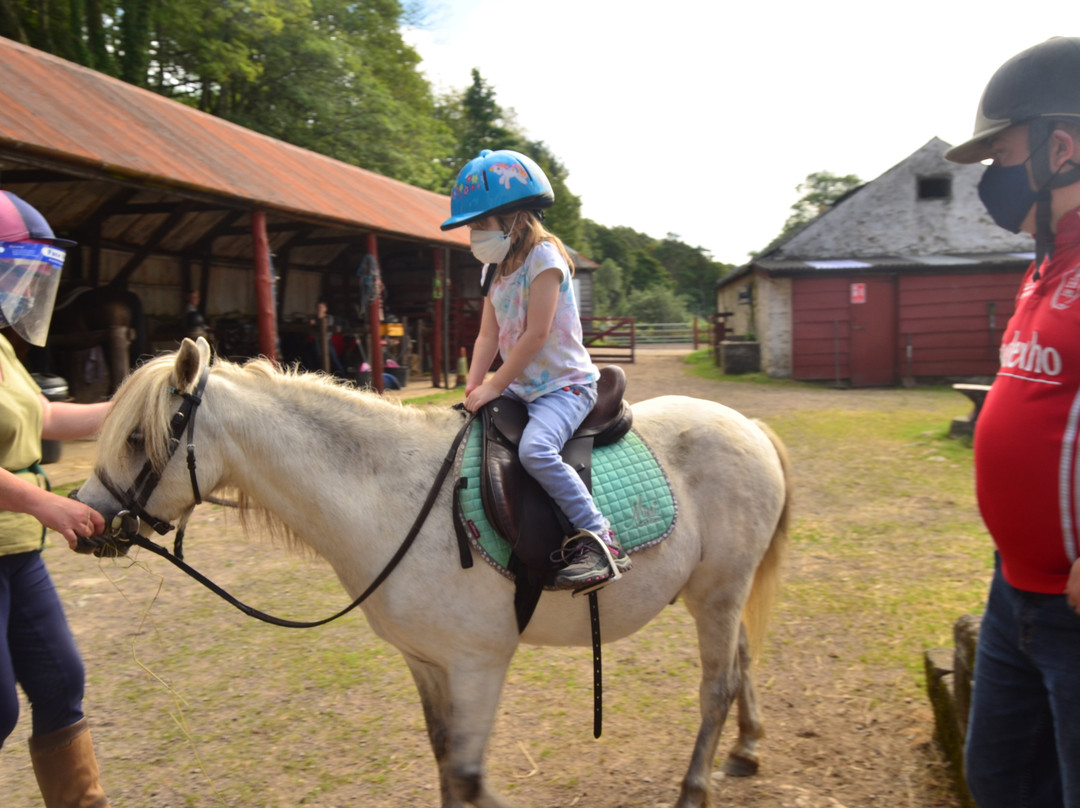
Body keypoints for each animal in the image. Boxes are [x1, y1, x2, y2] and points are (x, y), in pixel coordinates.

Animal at [73, 339, 786, 808]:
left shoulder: (477, 663)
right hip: (718, 593)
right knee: (744, 661)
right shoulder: (427, 662)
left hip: (718, 593)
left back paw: (695, 788)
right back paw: (748, 748)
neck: (391, 495)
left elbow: (469, 778)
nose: (86, 518)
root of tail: (748, 425)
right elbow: (446, 765)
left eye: (137, 437)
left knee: (717, 687)